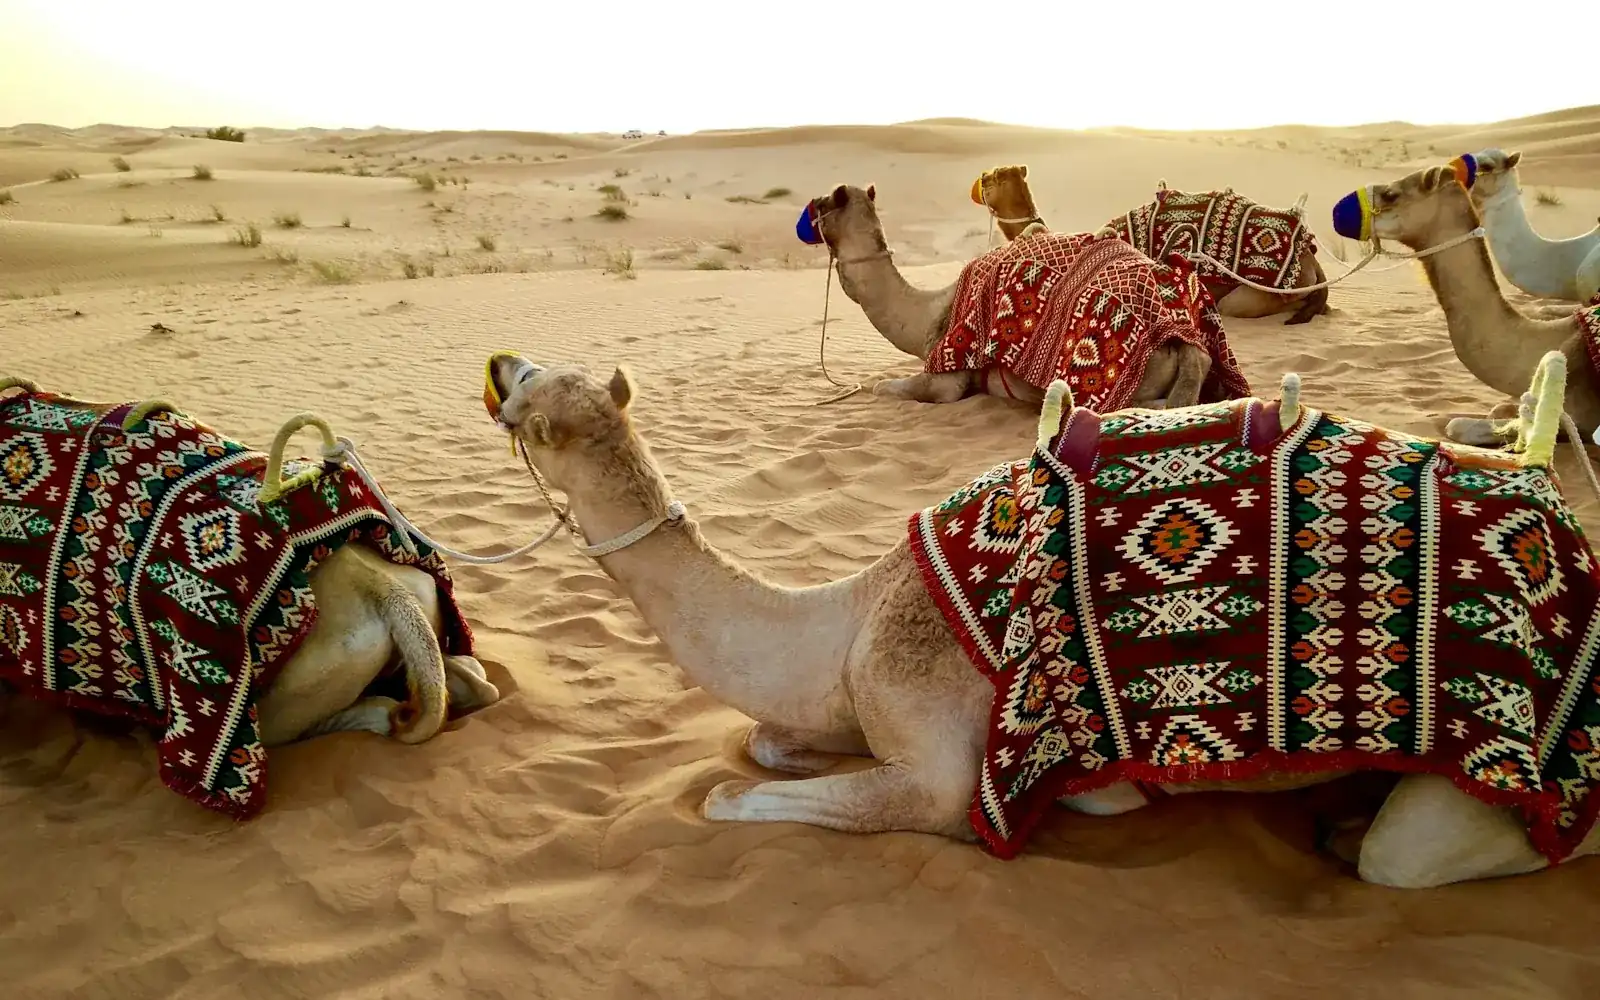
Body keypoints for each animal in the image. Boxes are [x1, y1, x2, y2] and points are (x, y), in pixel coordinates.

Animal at [484, 352, 1600, 888]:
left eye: (531, 399)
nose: (498, 365)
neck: (850, 616)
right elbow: (764, 744)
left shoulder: (939, 765)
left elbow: (731, 795)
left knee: (1435, 854)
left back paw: (1352, 832)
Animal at [798, 183, 1246, 411]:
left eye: (822, 203)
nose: (805, 216)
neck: (926, 311)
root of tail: (1183, 340)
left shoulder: (947, 374)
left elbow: (891, 388)